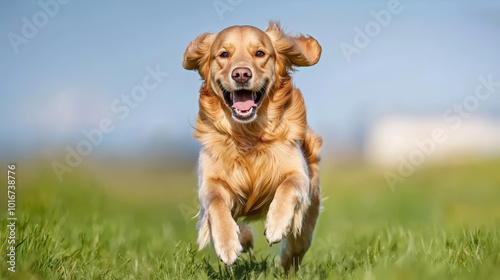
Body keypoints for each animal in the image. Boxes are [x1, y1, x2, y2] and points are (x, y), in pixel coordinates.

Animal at [182, 21, 322, 272]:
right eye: (223, 54)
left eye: (260, 53)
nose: (241, 74)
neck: (248, 134)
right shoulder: (209, 184)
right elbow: (216, 204)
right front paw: (228, 245)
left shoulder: (299, 174)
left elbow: (288, 185)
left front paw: (276, 225)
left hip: (305, 228)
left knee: (293, 253)